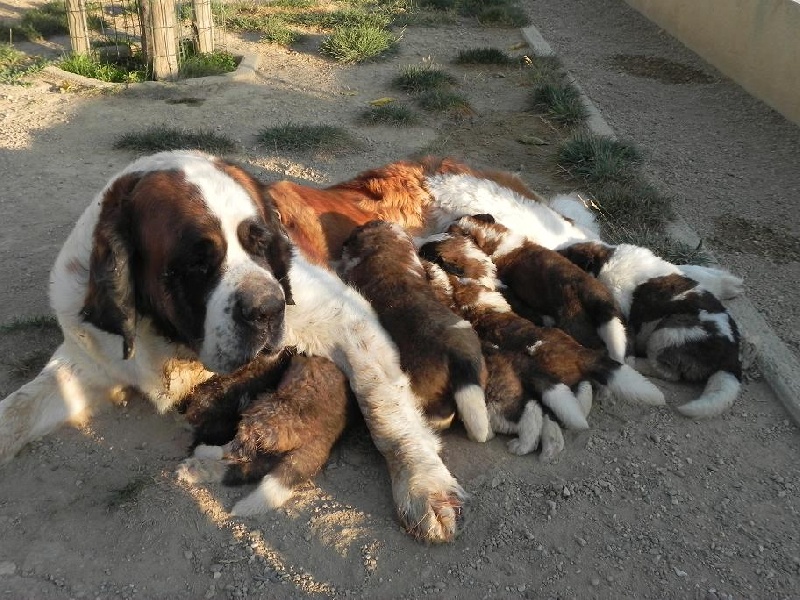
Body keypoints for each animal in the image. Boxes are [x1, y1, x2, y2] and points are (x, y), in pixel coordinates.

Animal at [556, 241, 744, 420]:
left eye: (568, 258)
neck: (605, 261)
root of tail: (731, 354)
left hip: (668, 333)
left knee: (667, 372)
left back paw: (638, 363)